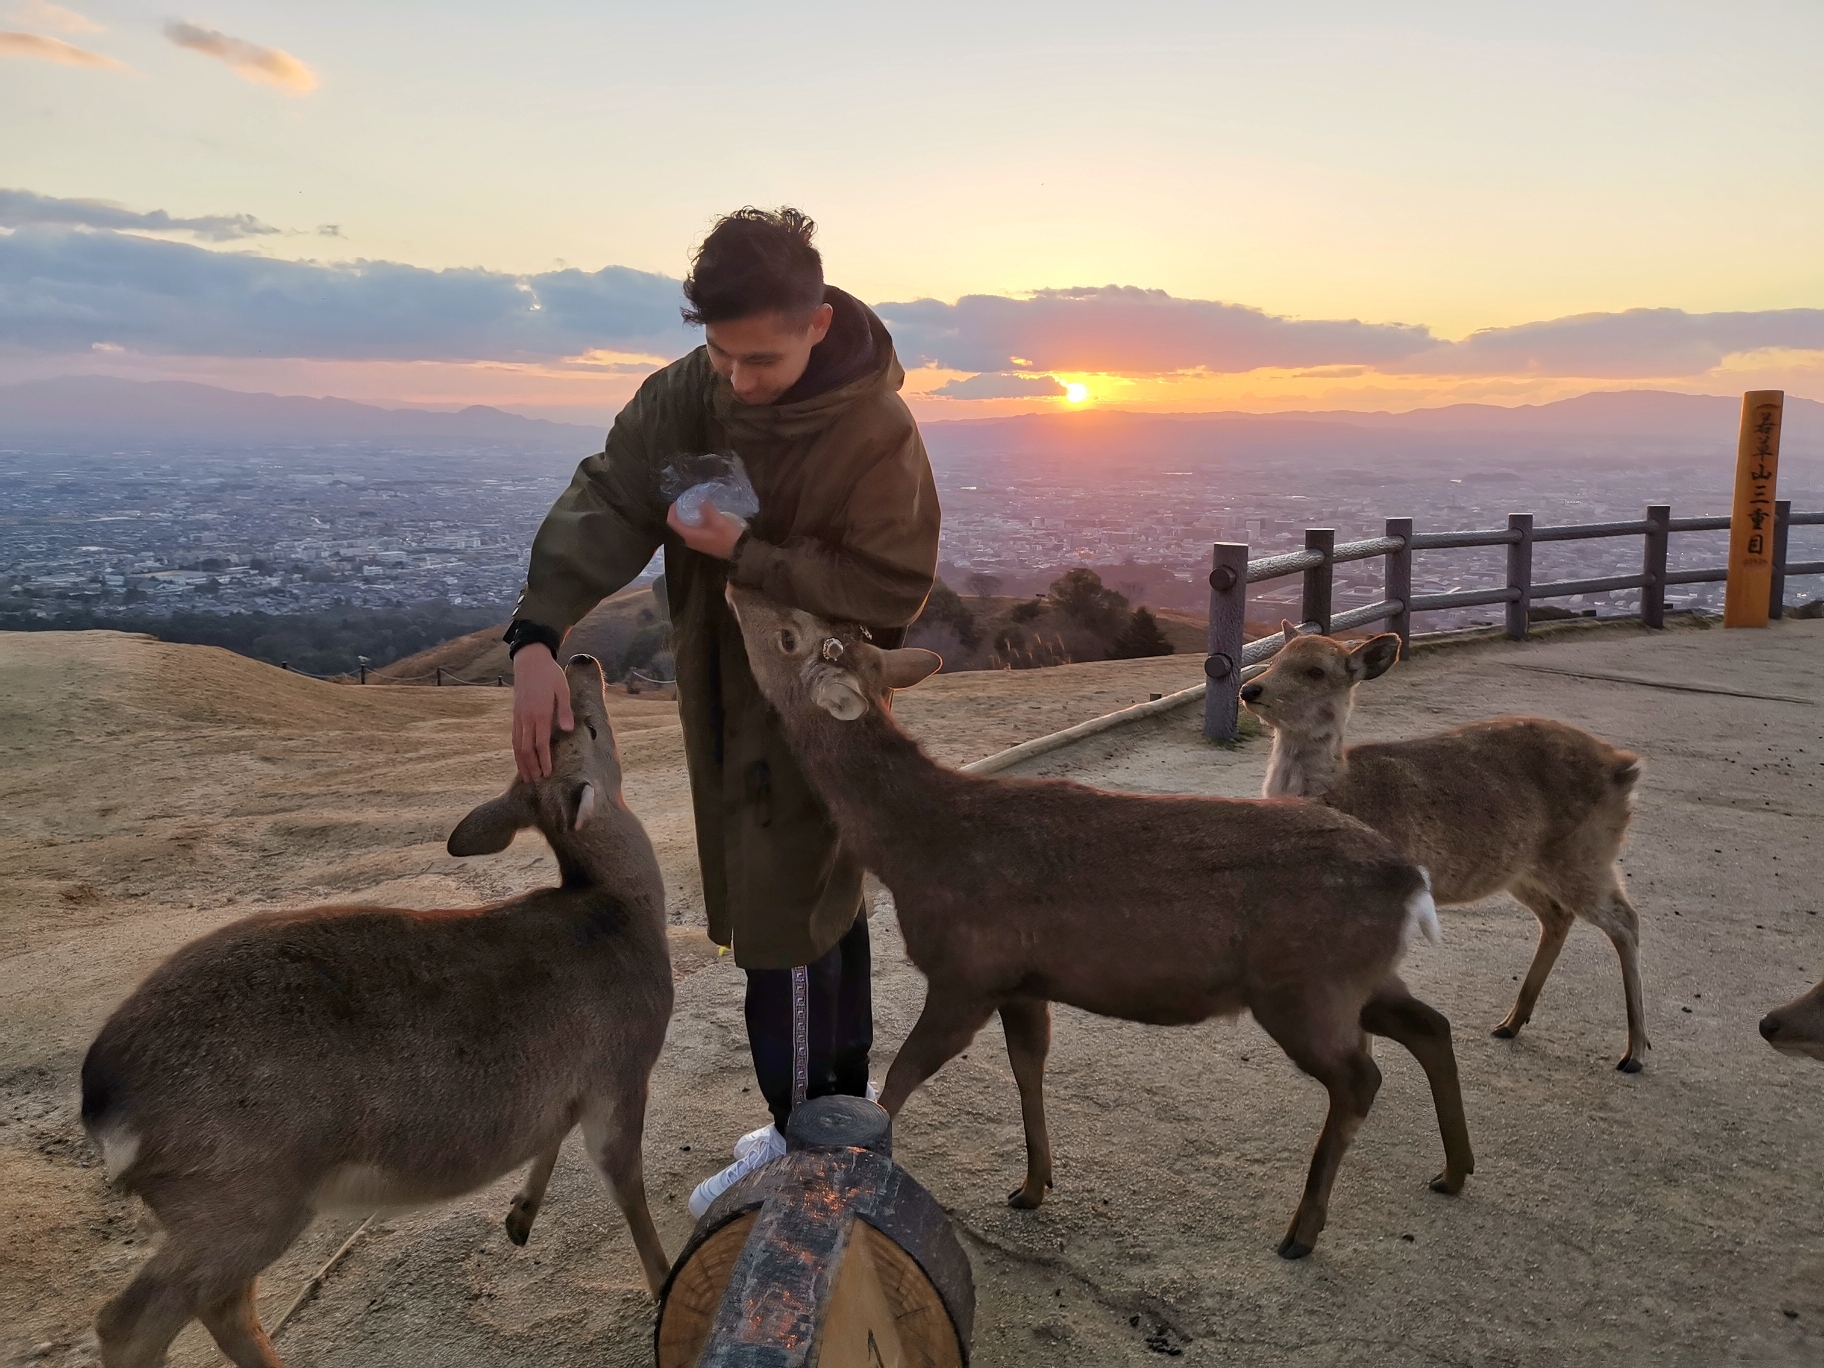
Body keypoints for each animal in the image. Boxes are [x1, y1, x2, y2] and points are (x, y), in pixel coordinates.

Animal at [80, 660, 678, 1364]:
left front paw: (519, 1217)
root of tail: (102, 1098)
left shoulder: (573, 1086)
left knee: (217, 1305)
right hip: (243, 1194)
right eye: (587, 726)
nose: (582, 661)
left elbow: (551, 1130)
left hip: (226, 1205)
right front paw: (665, 1285)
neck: (624, 909)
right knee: (134, 1317)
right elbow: (626, 1182)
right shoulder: (624, 1065)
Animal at [718, 583, 1473, 1262]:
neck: (917, 848)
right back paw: (1454, 1170)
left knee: (1361, 1077)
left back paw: (1303, 1231)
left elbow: (897, 1078)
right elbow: (1028, 1067)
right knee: (1431, 1025)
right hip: (1358, 978)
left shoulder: (967, 969)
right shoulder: (1023, 981)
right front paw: (1032, 1185)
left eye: (791, 635)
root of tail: (1411, 880)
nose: (736, 585)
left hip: (1305, 986)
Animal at [1247, 627, 1648, 1079]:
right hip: (1523, 869)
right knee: (1558, 915)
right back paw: (1510, 1023)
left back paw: (1634, 1052)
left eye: (1315, 671)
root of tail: (1626, 767)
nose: (1249, 689)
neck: (1342, 790)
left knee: (1625, 919)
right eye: (1274, 658)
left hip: (1586, 853)